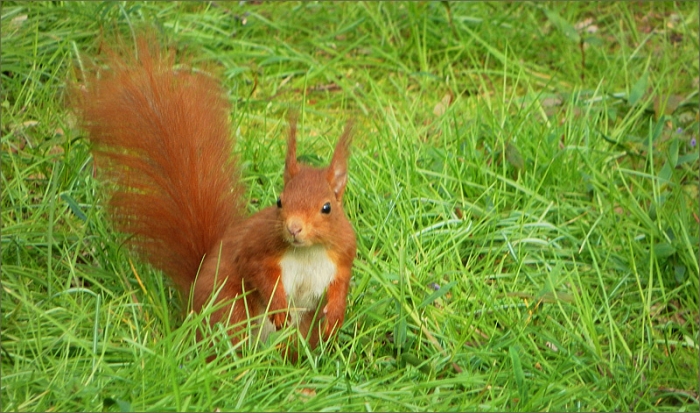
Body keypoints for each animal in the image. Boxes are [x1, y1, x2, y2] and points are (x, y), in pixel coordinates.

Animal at [71, 35, 357, 354]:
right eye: (279, 202)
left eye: (327, 208)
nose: (294, 228)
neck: (308, 251)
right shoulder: (257, 248)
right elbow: (259, 272)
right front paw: (279, 307)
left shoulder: (343, 256)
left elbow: (341, 287)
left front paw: (335, 316)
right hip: (229, 308)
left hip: (299, 331)